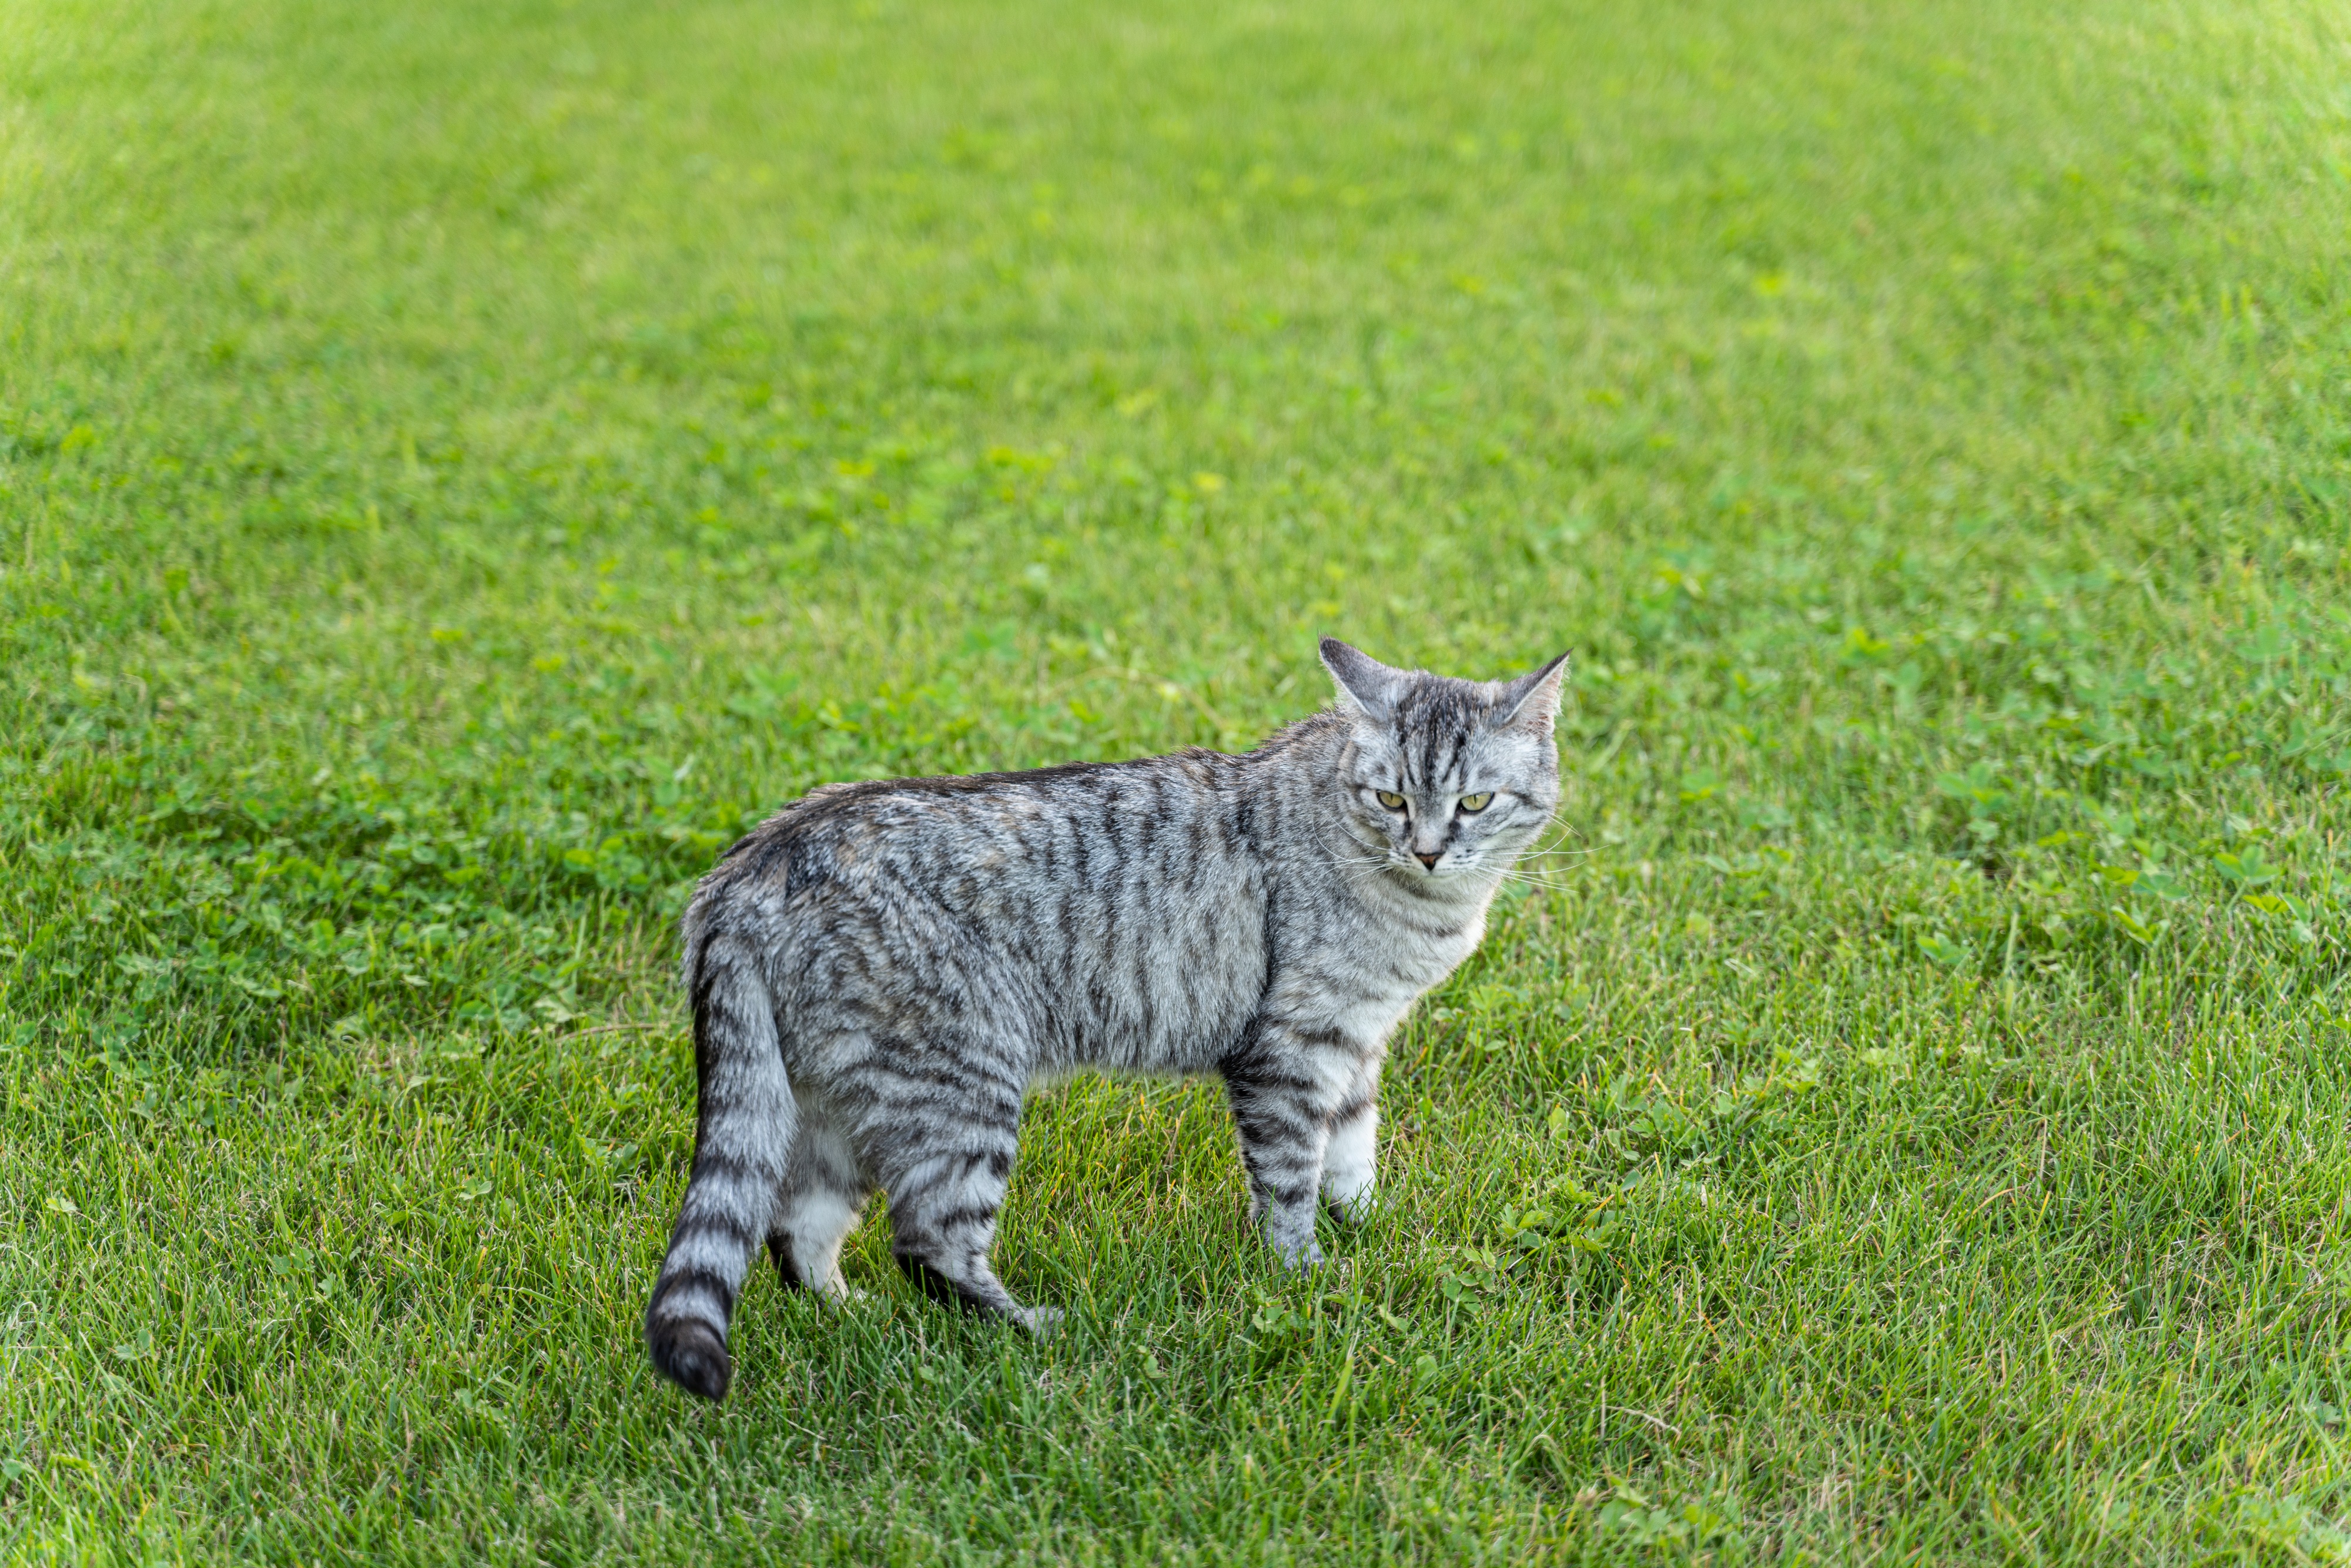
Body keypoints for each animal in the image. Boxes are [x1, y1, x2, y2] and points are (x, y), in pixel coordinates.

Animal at [635, 644, 1570, 1401]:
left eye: (1475, 802)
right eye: (1390, 797)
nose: (1429, 849)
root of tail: (745, 872)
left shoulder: (1358, 1040)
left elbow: (1353, 1151)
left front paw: (1369, 1228)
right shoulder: (1290, 1048)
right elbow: (1291, 1179)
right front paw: (1305, 1276)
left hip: (832, 1099)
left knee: (795, 1229)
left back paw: (848, 1314)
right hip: (960, 1087)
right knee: (926, 1244)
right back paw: (1034, 1330)